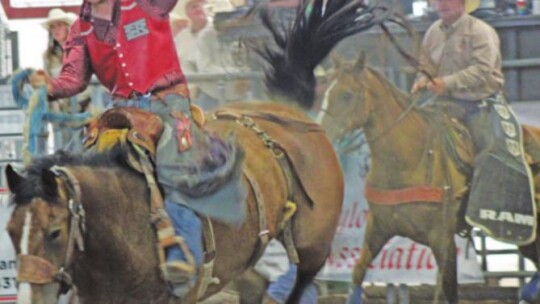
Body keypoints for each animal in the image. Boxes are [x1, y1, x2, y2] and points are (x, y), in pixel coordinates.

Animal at [318, 53, 540, 302]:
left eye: (346, 95)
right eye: (325, 91)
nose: (321, 131)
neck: (411, 158)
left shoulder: (442, 240)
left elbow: (449, 291)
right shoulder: (378, 228)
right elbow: (357, 272)